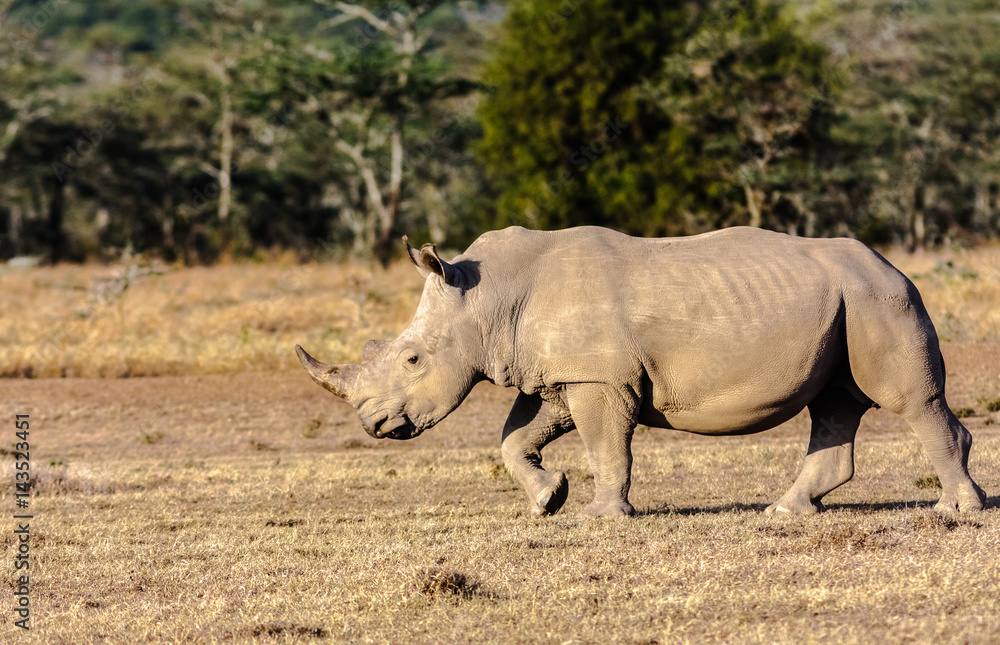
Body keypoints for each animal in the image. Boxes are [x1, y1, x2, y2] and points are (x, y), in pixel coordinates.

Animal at [296, 226, 987, 517]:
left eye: (412, 359)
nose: (374, 425)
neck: (487, 299)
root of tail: (892, 263)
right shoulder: (561, 374)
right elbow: (514, 438)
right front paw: (549, 500)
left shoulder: (599, 380)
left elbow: (607, 448)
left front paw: (603, 517)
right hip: (847, 301)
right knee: (835, 404)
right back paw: (785, 512)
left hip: (881, 297)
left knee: (908, 402)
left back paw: (957, 511)